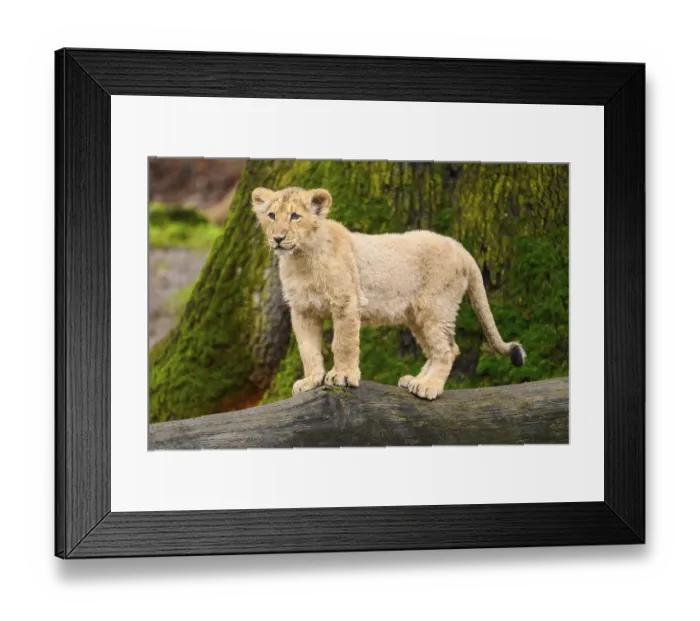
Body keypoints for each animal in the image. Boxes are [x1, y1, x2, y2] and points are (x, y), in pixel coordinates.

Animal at [252, 186, 526, 400]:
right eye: (272, 215)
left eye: (295, 216)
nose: (278, 238)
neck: (300, 259)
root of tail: (460, 248)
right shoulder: (302, 310)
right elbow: (308, 349)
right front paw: (311, 380)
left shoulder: (346, 303)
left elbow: (343, 343)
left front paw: (342, 375)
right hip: (416, 315)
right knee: (437, 349)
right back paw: (415, 381)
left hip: (436, 307)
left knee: (448, 349)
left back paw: (429, 386)